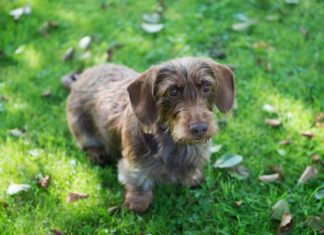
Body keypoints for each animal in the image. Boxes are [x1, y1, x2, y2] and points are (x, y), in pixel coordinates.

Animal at [67, 57, 235, 213]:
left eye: (206, 86)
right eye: (172, 91)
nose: (200, 128)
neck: (173, 141)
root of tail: (83, 75)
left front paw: (192, 177)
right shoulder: (134, 164)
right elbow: (139, 181)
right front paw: (138, 202)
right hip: (81, 128)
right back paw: (97, 154)